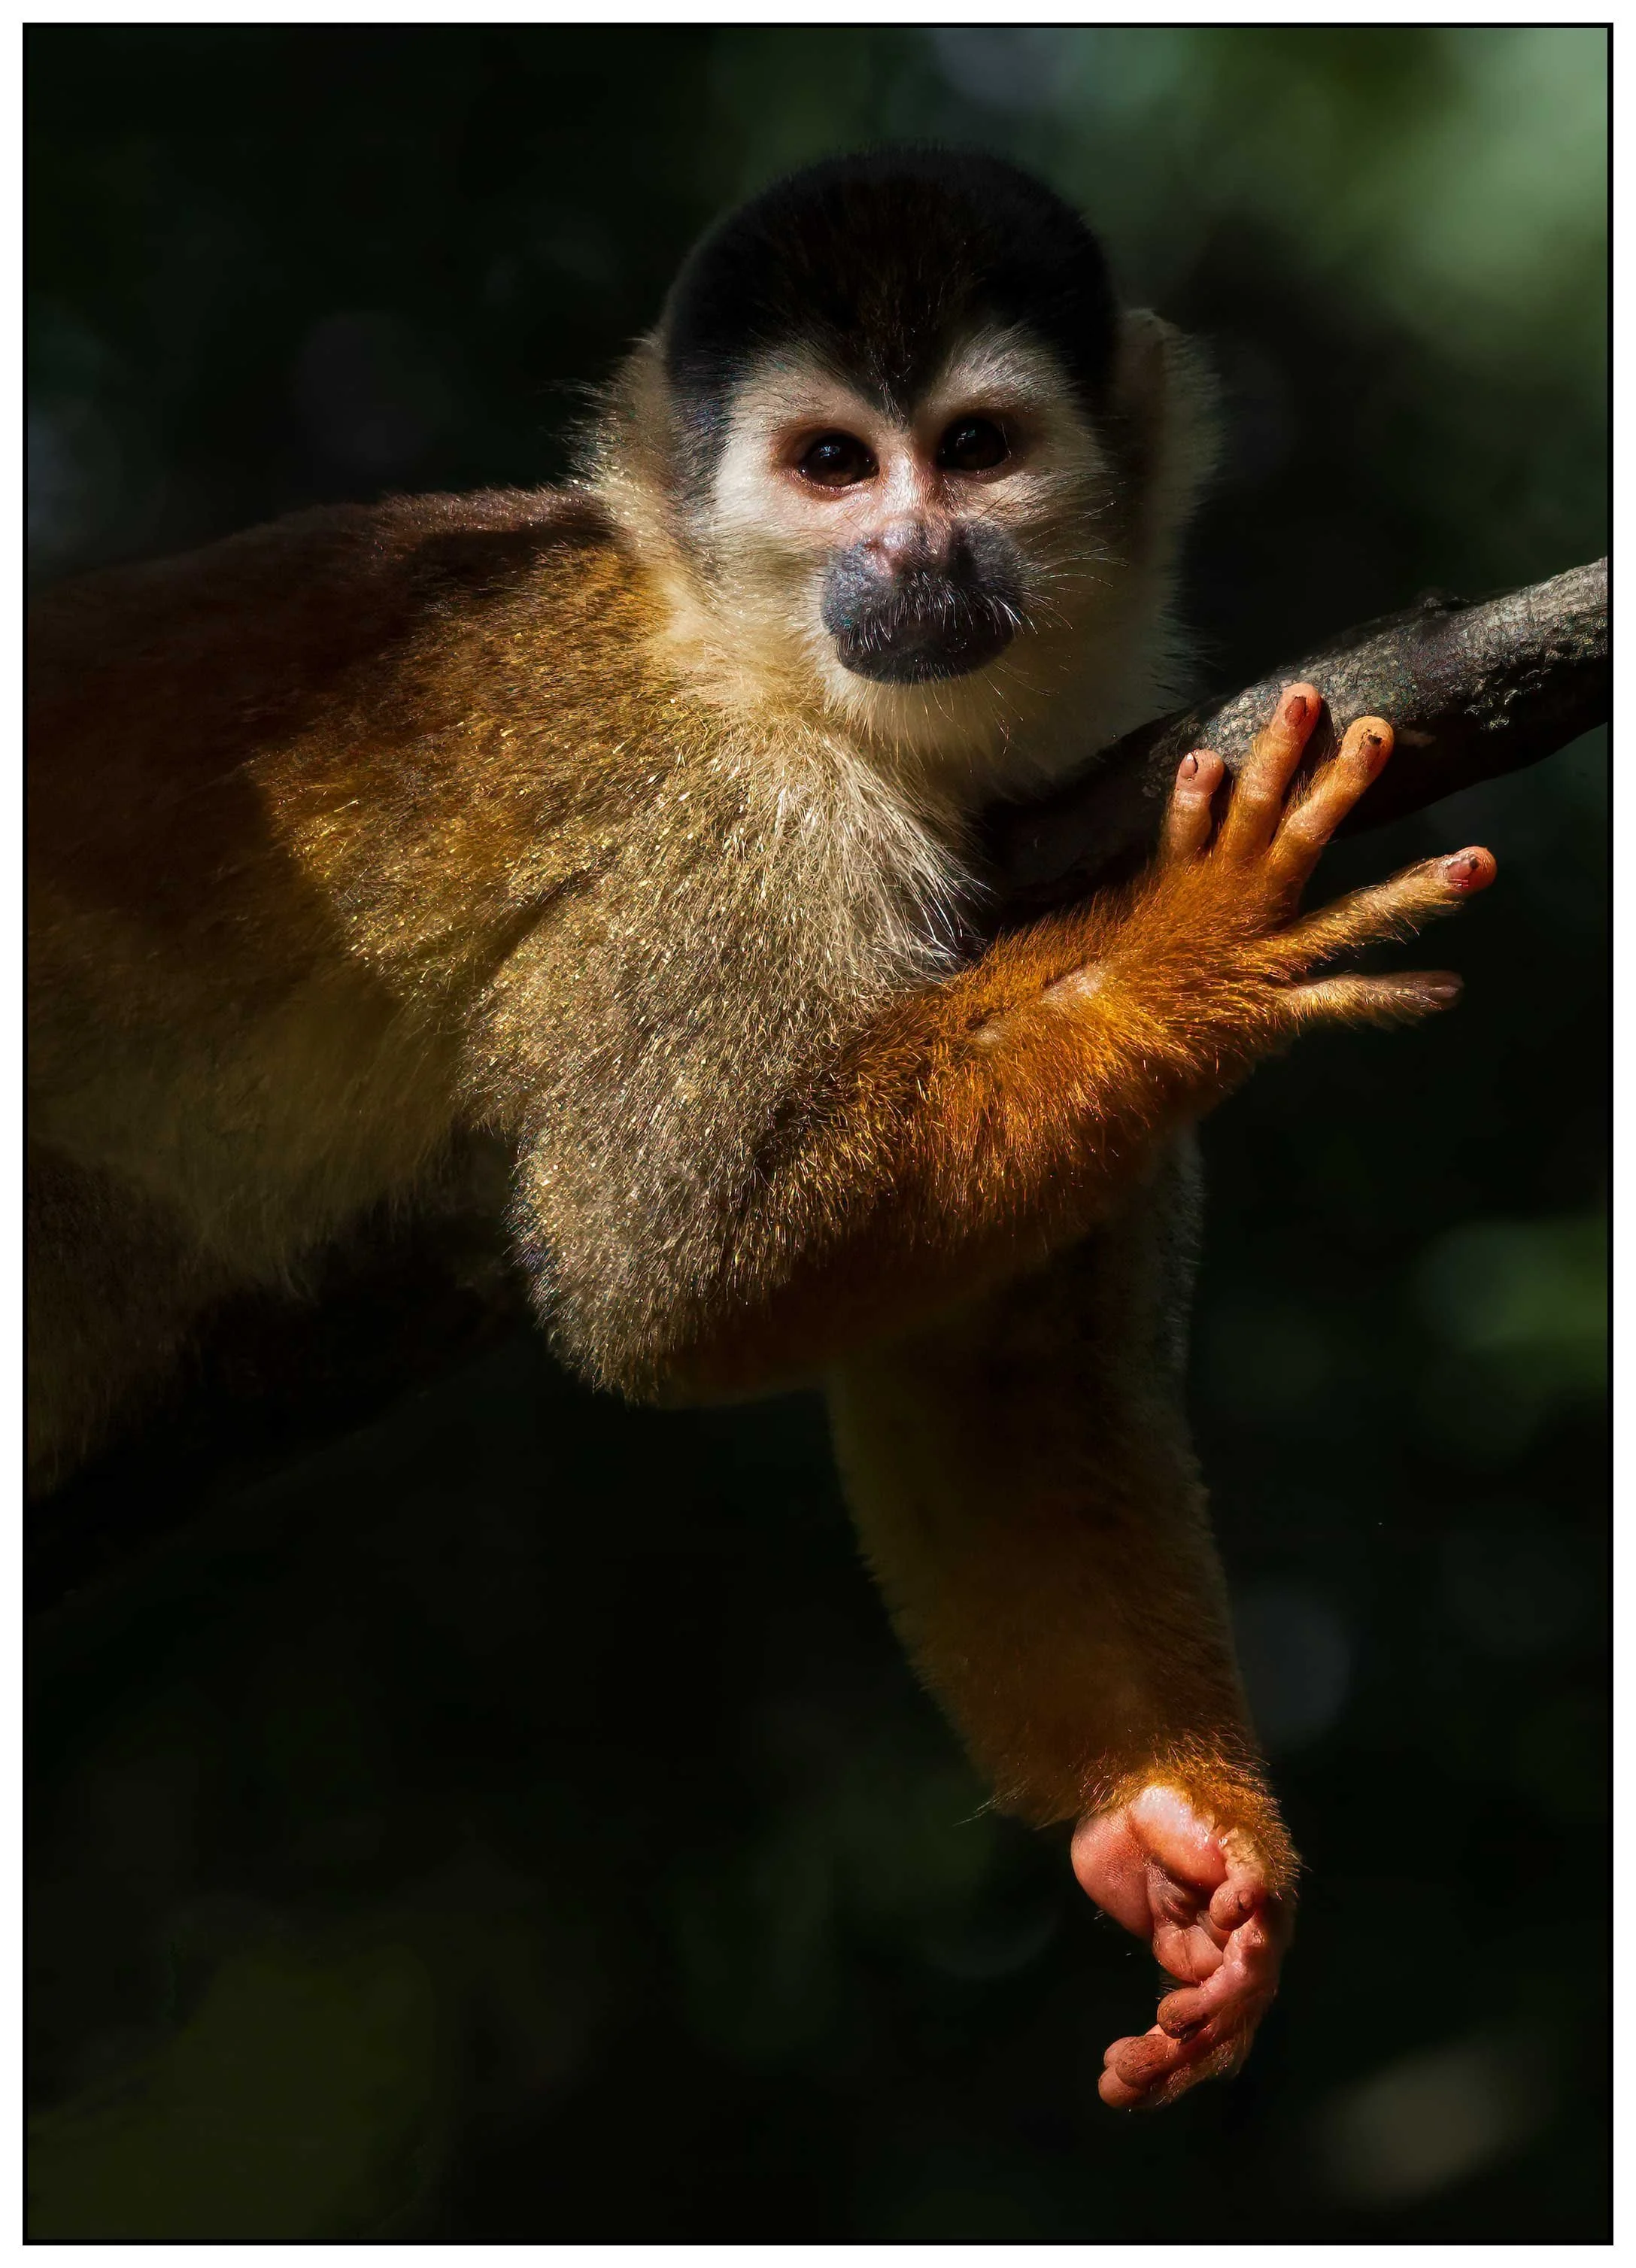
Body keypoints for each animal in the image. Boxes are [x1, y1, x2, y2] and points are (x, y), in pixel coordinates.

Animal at [27, 147, 1499, 2109]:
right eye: (828, 467)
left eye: (971, 449)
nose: (916, 553)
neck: (774, 672)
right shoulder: (729, 829)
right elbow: (669, 1271)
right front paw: (1188, 965)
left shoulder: (1075, 812)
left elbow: (993, 1366)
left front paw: (1169, 1825)